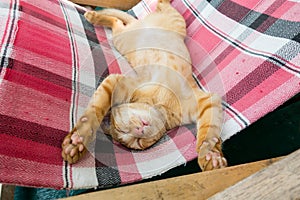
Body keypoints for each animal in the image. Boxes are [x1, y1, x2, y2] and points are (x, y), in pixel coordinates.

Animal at [61, 0, 226, 171]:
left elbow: (209, 132)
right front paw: (77, 141)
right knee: (117, 22)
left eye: (123, 128)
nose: (139, 130)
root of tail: (140, 23)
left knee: (157, 6)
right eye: (137, 142)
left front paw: (211, 155)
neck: (161, 105)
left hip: (176, 21)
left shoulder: (208, 100)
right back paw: (94, 16)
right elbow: (93, 111)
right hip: (121, 37)